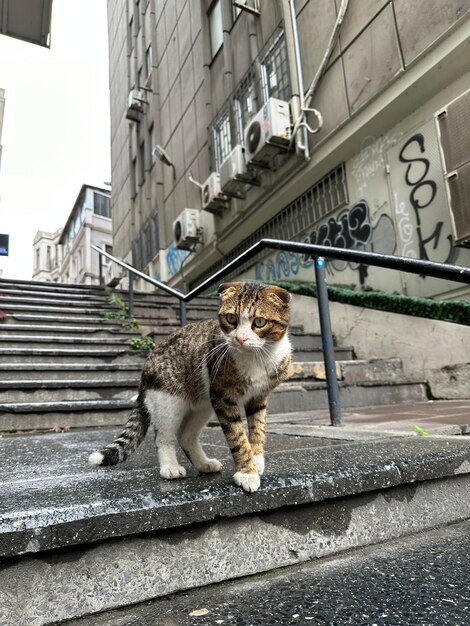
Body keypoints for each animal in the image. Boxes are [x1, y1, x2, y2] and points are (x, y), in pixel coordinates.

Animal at [88, 280, 292, 490]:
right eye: (231, 318)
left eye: (259, 322)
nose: (240, 339)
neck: (257, 358)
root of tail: (145, 370)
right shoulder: (223, 397)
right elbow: (237, 437)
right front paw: (246, 472)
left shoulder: (258, 397)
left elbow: (258, 429)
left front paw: (256, 460)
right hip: (168, 401)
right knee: (163, 436)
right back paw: (170, 467)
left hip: (202, 405)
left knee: (186, 436)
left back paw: (204, 464)